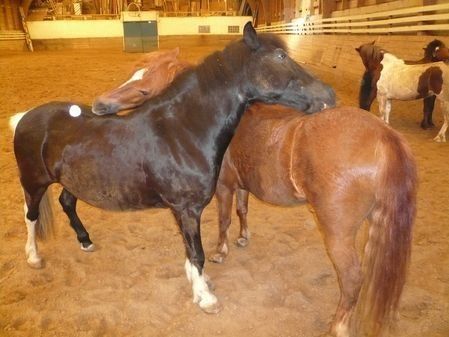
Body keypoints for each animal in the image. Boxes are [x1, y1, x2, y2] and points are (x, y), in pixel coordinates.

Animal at [9, 23, 336, 312]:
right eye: (280, 57)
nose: (329, 95)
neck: (182, 131)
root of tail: (26, 117)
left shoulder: (185, 210)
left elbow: (191, 252)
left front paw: (200, 285)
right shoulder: (187, 209)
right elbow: (197, 253)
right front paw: (206, 299)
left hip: (71, 181)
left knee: (67, 202)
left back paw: (85, 241)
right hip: (34, 182)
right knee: (30, 216)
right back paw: (34, 258)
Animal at [209, 103, 416, 336]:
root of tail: (384, 135)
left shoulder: (224, 186)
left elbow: (224, 220)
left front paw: (220, 252)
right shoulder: (241, 184)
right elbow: (242, 210)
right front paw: (243, 237)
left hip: (338, 236)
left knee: (352, 280)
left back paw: (337, 327)